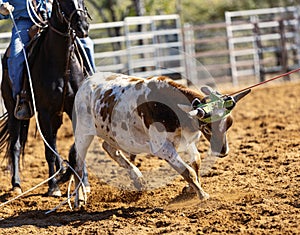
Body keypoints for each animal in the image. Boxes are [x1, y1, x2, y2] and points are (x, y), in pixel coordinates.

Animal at [0, 0, 90, 196]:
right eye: (64, 1)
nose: (83, 26)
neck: (61, 63)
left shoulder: (74, 109)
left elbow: (77, 146)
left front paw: (81, 182)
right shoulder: (44, 112)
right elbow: (48, 151)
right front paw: (53, 187)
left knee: (54, 141)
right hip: (13, 111)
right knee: (16, 146)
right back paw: (17, 184)